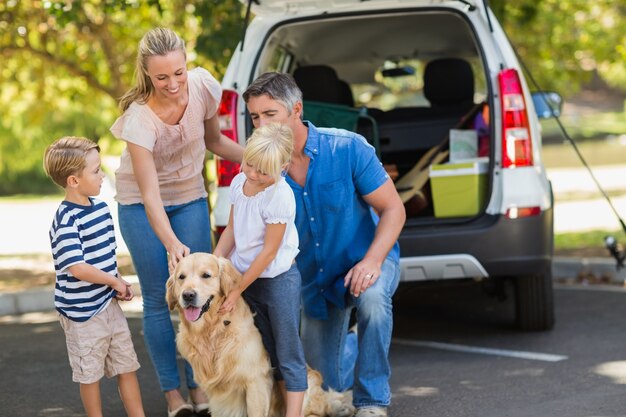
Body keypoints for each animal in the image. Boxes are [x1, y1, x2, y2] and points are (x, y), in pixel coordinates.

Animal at [166, 252, 354, 416]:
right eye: (181, 277)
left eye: (206, 275)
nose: (188, 295)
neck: (214, 329)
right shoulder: (217, 394)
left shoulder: (255, 381)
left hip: (309, 382)